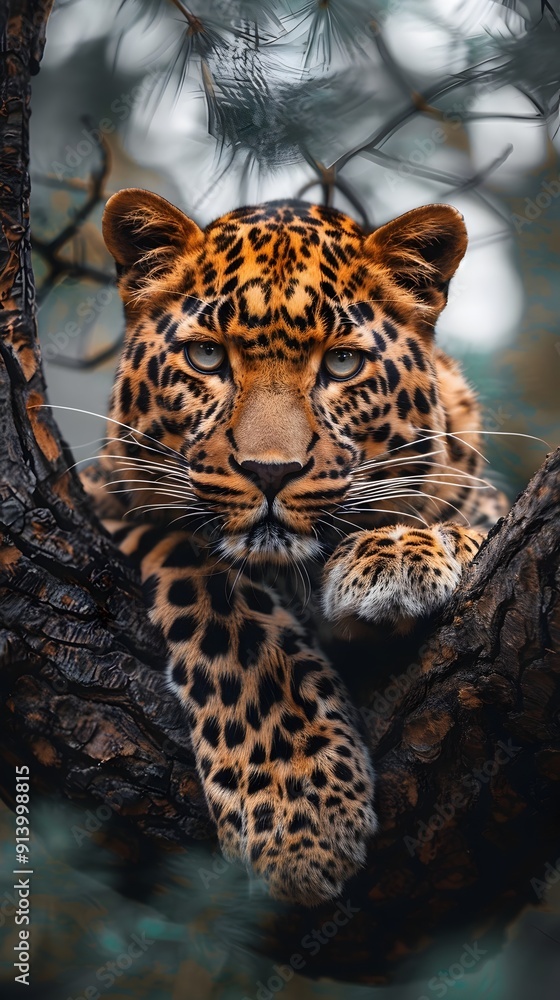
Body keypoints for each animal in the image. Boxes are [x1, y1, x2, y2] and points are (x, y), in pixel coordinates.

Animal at [81, 188, 508, 907]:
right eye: (206, 358)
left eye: (341, 363)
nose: (270, 471)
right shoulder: (105, 503)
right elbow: (229, 613)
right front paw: (301, 818)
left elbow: (478, 524)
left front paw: (395, 552)